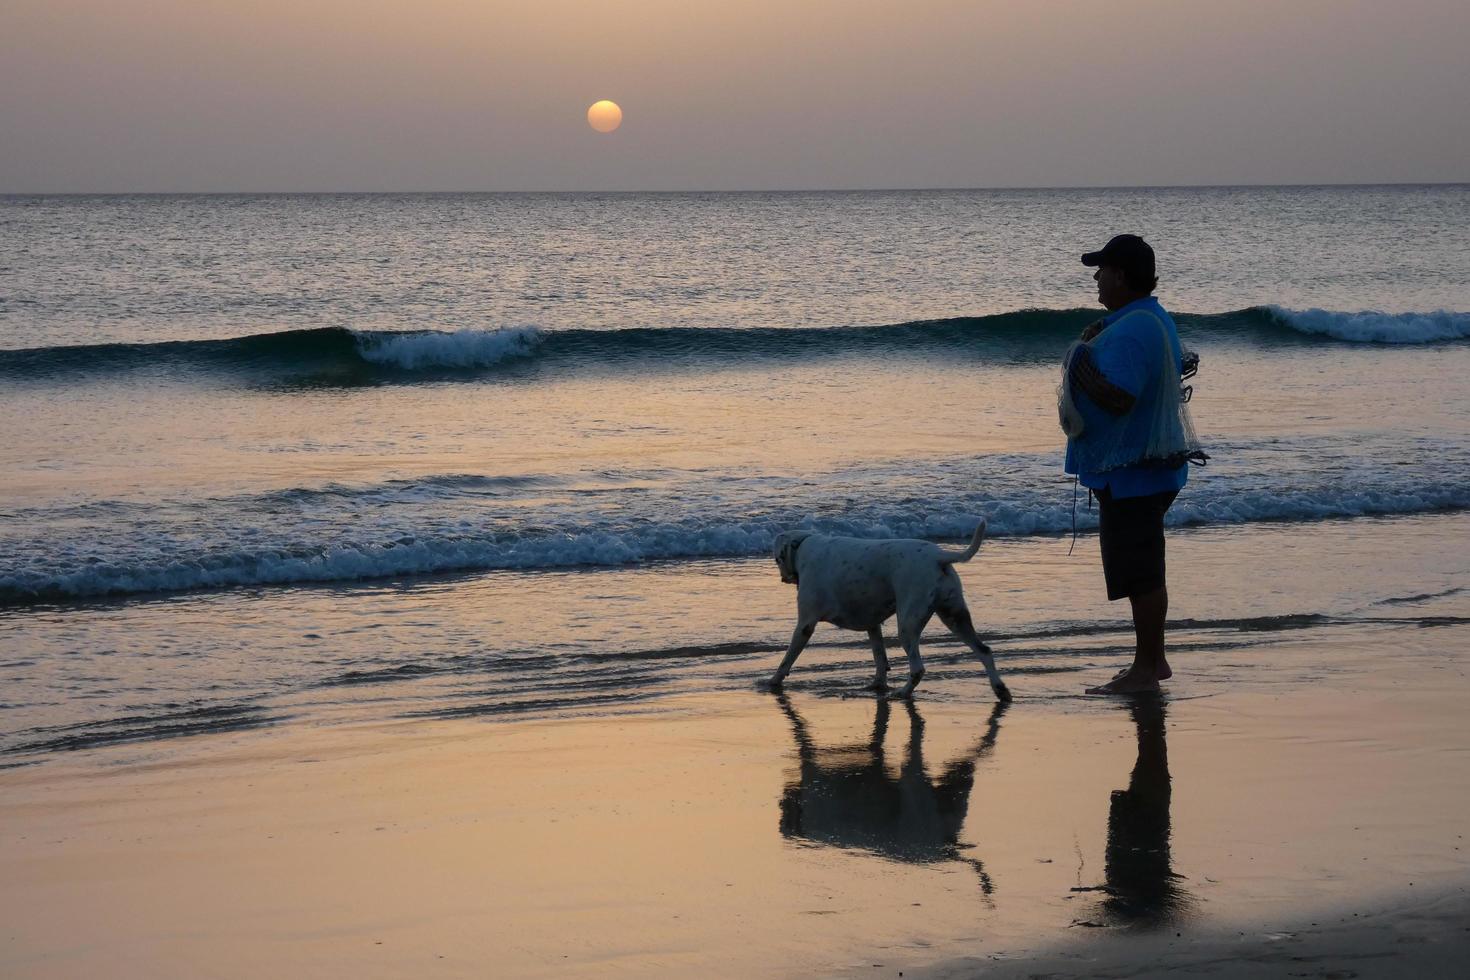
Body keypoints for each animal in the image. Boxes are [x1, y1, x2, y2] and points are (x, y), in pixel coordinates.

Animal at [770, 525, 1011, 702]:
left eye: (776, 559)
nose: (782, 578)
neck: (802, 546)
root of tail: (939, 556)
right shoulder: (872, 625)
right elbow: (879, 657)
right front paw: (877, 684)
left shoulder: (805, 625)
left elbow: (787, 659)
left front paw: (773, 681)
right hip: (955, 617)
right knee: (984, 651)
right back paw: (1000, 689)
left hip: (908, 624)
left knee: (918, 668)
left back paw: (903, 693)